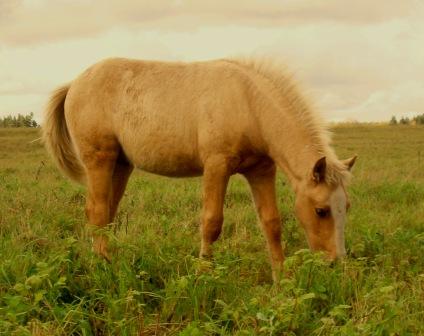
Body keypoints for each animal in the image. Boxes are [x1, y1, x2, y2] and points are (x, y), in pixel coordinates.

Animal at [43, 57, 356, 280]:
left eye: (347, 207)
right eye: (321, 210)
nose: (335, 263)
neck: (249, 103)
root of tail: (74, 84)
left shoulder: (261, 170)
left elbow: (271, 222)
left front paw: (282, 279)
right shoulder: (216, 166)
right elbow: (211, 222)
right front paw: (204, 273)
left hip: (121, 164)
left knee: (107, 213)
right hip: (100, 160)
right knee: (96, 212)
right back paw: (102, 266)